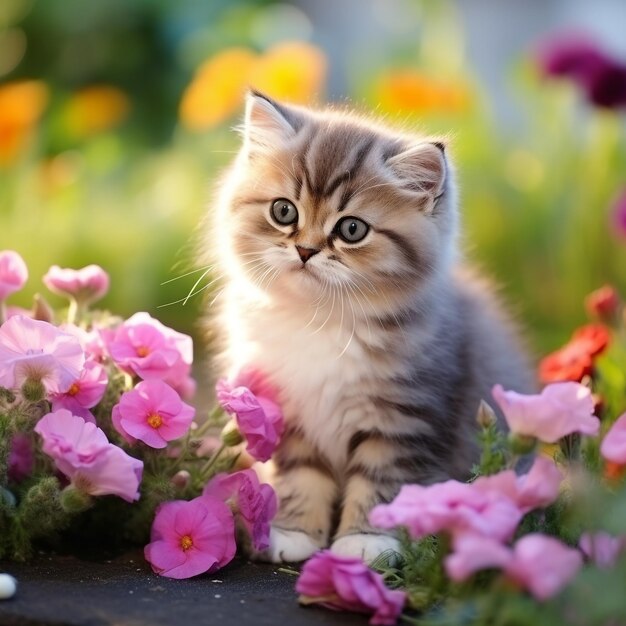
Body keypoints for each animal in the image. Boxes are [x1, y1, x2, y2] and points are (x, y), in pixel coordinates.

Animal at [204, 90, 532, 564]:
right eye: (284, 211)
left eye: (352, 229)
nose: (305, 250)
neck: (319, 323)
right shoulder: (288, 411)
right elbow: (301, 475)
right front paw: (291, 531)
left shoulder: (405, 417)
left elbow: (382, 481)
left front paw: (365, 541)